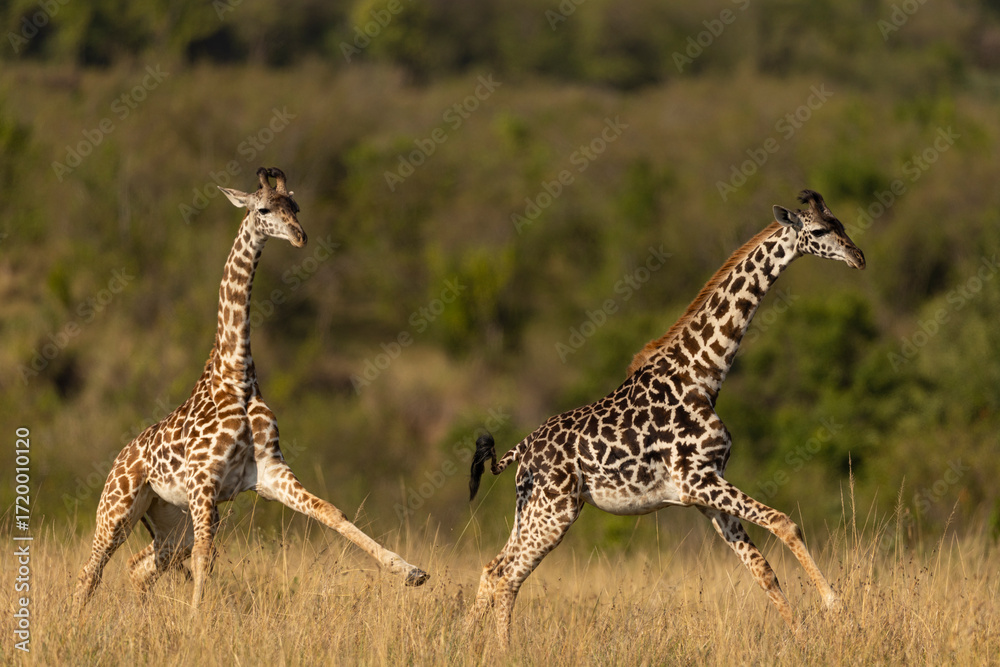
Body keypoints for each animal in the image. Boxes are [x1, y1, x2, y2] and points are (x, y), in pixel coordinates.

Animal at [75, 167, 429, 613]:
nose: (299, 237)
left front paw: (410, 571)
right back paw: (77, 619)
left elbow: (331, 511)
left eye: (295, 206)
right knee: (91, 570)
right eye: (263, 209)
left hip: (171, 517)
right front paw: (196, 620)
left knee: (141, 565)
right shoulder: (204, 480)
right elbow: (206, 554)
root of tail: (119, 458)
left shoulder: (269, 473)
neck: (238, 376)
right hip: (119, 508)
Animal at [467, 190, 865, 646]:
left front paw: (801, 639)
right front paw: (837, 609)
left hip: (532, 507)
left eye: (840, 222)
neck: (702, 374)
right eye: (818, 230)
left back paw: (466, 641)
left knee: (493, 568)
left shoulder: (706, 488)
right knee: (509, 576)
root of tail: (522, 449)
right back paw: (503, 649)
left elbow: (762, 570)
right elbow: (785, 523)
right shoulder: (699, 479)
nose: (858, 257)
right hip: (555, 510)